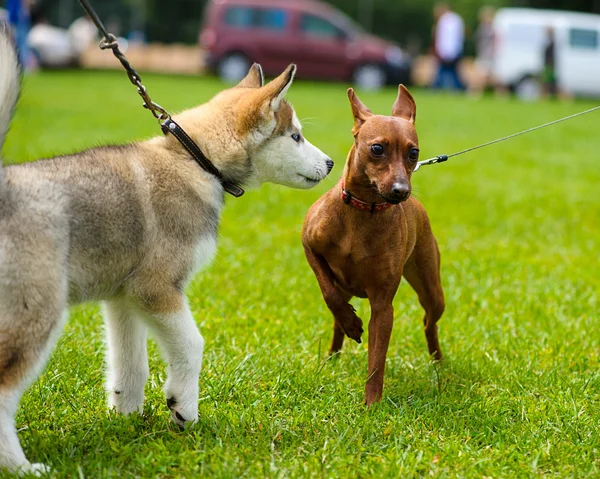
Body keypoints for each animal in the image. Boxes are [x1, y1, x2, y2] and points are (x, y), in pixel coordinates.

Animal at [0, 28, 332, 474]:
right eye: (295, 136)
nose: (331, 163)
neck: (195, 161)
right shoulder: (157, 288)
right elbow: (192, 345)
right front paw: (183, 409)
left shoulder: (124, 297)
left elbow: (130, 363)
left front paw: (125, 419)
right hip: (36, 315)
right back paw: (20, 467)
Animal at [302, 85, 442, 404]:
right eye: (377, 149)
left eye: (414, 153)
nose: (401, 191)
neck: (362, 212)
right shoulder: (309, 246)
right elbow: (329, 294)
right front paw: (351, 324)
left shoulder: (382, 307)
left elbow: (377, 359)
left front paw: (371, 404)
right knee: (336, 316)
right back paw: (333, 355)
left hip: (432, 289)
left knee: (429, 321)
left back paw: (438, 364)